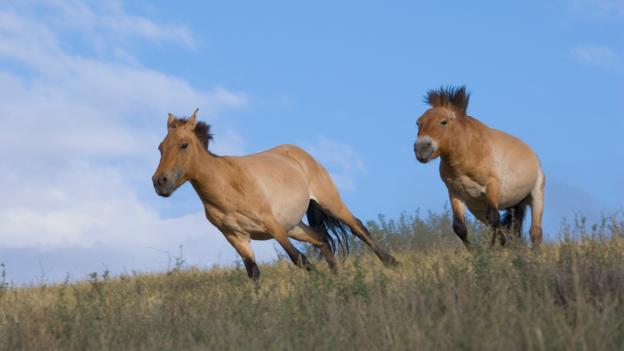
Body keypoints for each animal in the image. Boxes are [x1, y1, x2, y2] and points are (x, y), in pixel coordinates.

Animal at [152, 109, 398, 280]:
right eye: (160, 147)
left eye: (184, 145)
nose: (159, 182)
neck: (227, 186)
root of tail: (300, 154)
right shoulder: (236, 238)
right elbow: (254, 273)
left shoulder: (272, 225)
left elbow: (299, 258)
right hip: (295, 226)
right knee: (322, 239)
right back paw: (338, 277)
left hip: (328, 203)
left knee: (358, 228)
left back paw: (392, 263)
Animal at [414, 86, 544, 248]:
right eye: (418, 123)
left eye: (443, 122)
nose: (420, 149)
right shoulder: (455, 193)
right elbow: (460, 227)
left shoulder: (492, 186)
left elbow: (495, 219)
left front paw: (496, 248)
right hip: (483, 208)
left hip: (536, 195)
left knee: (535, 233)